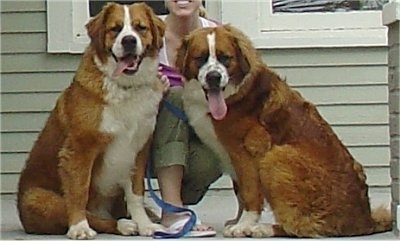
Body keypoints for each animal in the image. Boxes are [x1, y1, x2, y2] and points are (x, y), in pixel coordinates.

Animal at [16, 2, 166, 239]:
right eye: (115, 29)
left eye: (140, 27)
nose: (129, 40)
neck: (125, 87)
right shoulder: (80, 150)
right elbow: (79, 192)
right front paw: (79, 228)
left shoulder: (139, 150)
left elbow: (136, 194)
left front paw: (145, 225)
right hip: (39, 199)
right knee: (92, 215)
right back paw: (122, 225)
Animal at [177, 24, 392, 237]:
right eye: (201, 58)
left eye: (224, 58)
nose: (214, 77)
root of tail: (365, 220)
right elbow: (240, 193)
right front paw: (238, 220)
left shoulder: (246, 152)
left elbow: (249, 193)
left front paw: (244, 224)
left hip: (277, 156)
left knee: (300, 227)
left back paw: (261, 228)